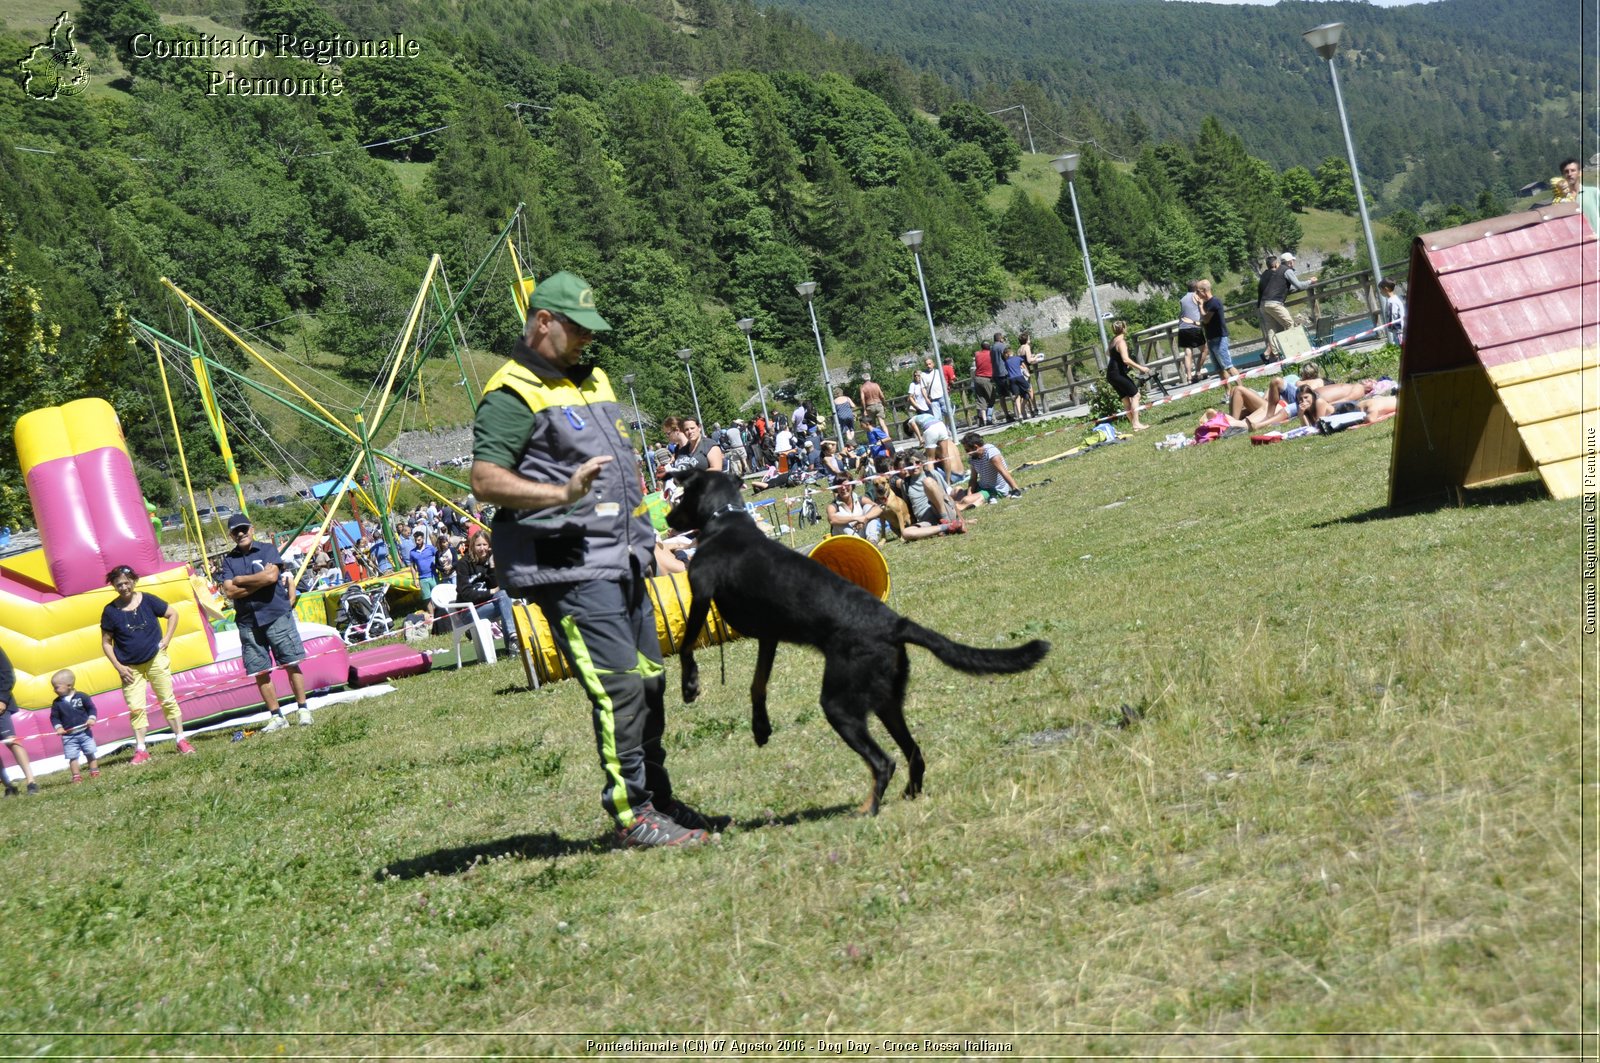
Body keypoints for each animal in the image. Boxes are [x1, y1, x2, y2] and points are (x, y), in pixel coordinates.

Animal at [662, 470, 1049, 813]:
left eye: (680, 496)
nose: (666, 518)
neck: (725, 519)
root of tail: (896, 623)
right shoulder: (768, 635)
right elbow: (757, 685)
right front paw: (761, 728)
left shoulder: (701, 594)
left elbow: (686, 649)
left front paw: (689, 686)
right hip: (887, 702)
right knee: (914, 753)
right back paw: (908, 794)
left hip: (840, 705)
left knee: (883, 762)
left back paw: (867, 810)